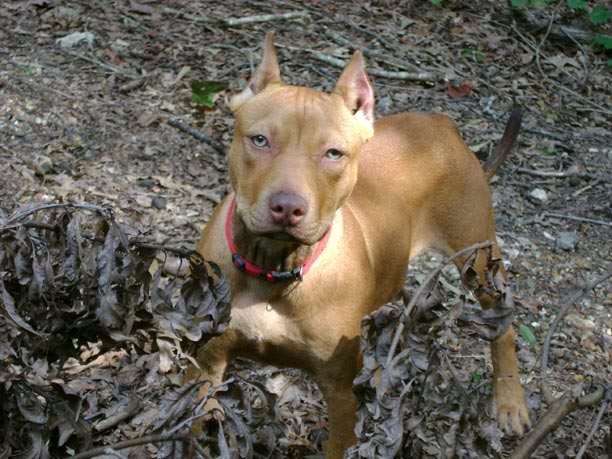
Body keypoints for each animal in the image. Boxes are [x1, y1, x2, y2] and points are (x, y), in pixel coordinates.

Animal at [184, 33, 528, 459]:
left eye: (333, 153)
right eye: (260, 140)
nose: (288, 207)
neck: (274, 267)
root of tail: (443, 125)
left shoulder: (341, 393)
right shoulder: (206, 366)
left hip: (478, 259)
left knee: (504, 323)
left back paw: (510, 402)